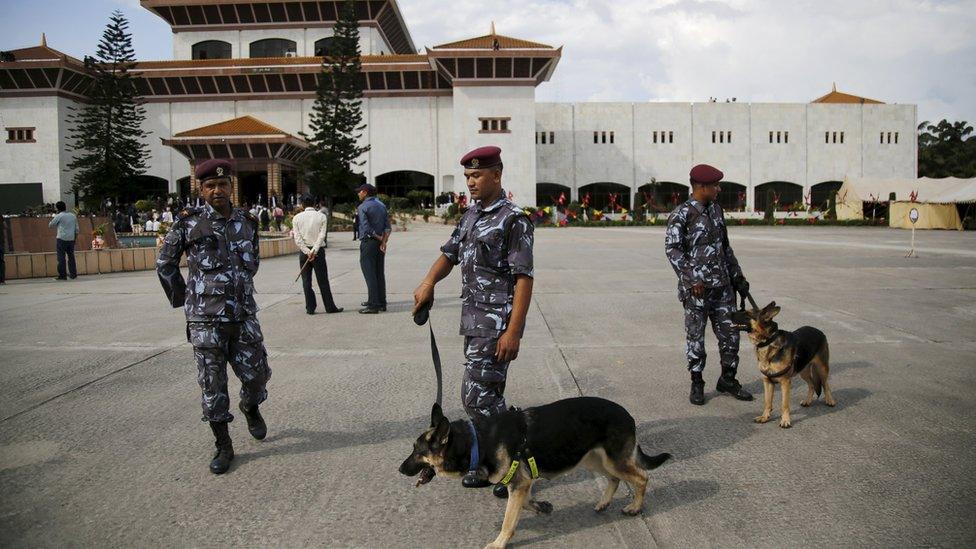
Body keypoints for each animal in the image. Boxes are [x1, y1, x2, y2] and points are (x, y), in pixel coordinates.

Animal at [398, 398, 672, 548]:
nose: (400, 469)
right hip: (592, 459)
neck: (477, 441)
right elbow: (524, 503)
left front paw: (499, 543)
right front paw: (542, 507)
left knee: (641, 478)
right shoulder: (521, 483)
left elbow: (509, 520)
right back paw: (604, 503)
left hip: (613, 461)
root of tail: (627, 414)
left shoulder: (518, 484)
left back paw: (634, 507)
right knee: (614, 479)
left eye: (416, 451)